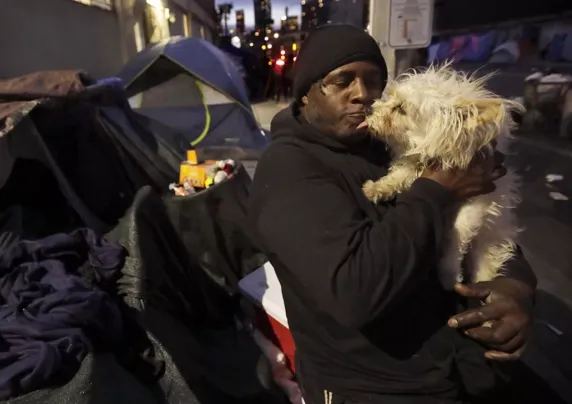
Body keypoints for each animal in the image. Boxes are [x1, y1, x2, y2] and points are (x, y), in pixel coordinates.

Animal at [362, 64, 524, 288]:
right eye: (390, 97)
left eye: (401, 109)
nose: (369, 109)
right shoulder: (420, 163)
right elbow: (403, 174)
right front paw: (378, 187)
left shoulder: (476, 204)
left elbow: (457, 233)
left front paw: (448, 273)